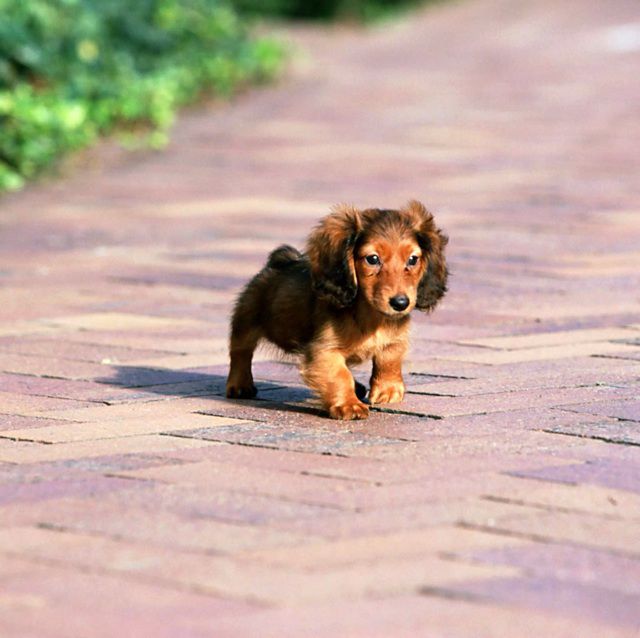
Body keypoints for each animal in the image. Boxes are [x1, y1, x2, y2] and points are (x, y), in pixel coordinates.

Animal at [226, 200, 448, 420]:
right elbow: (340, 375)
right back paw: (240, 385)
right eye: (373, 259)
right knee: (240, 352)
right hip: (246, 321)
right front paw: (349, 405)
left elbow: (389, 360)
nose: (401, 303)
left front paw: (388, 390)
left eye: (413, 259)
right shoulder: (324, 349)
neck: (371, 317)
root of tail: (279, 262)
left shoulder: (395, 339)